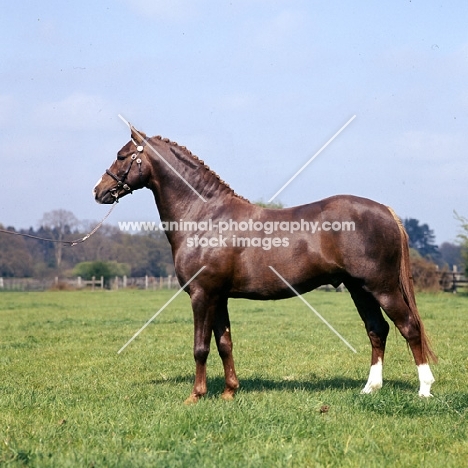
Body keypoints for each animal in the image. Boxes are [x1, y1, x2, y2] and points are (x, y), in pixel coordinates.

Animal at [93, 125, 436, 402]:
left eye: (122, 156)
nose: (99, 191)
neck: (204, 217)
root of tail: (385, 211)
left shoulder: (202, 294)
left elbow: (201, 347)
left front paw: (196, 395)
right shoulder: (219, 297)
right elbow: (225, 343)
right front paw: (229, 392)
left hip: (382, 287)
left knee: (410, 327)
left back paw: (424, 390)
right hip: (359, 289)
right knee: (377, 330)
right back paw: (369, 388)